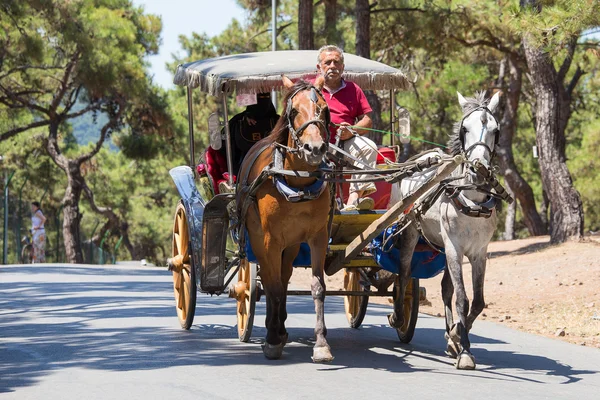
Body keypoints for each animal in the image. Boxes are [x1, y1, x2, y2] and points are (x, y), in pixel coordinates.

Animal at [236, 75, 332, 362]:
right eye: (294, 111)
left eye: (324, 109)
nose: (315, 148)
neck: (297, 180)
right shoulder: (269, 240)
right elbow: (274, 287)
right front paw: (271, 341)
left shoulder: (317, 237)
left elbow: (317, 287)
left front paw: (321, 343)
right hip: (259, 241)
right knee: (270, 281)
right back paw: (273, 330)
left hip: (290, 246)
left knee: (283, 274)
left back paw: (281, 328)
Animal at [390, 90, 502, 368]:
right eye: (464, 128)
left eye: (496, 130)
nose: (478, 169)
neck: (471, 198)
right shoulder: (454, 247)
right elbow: (462, 298)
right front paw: (465, 351)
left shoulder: (478, 252)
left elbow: (478, 301)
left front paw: (456, 336)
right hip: (412, 233)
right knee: (404, 274)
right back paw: (398, 317)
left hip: (442, 247)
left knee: (444, 288)